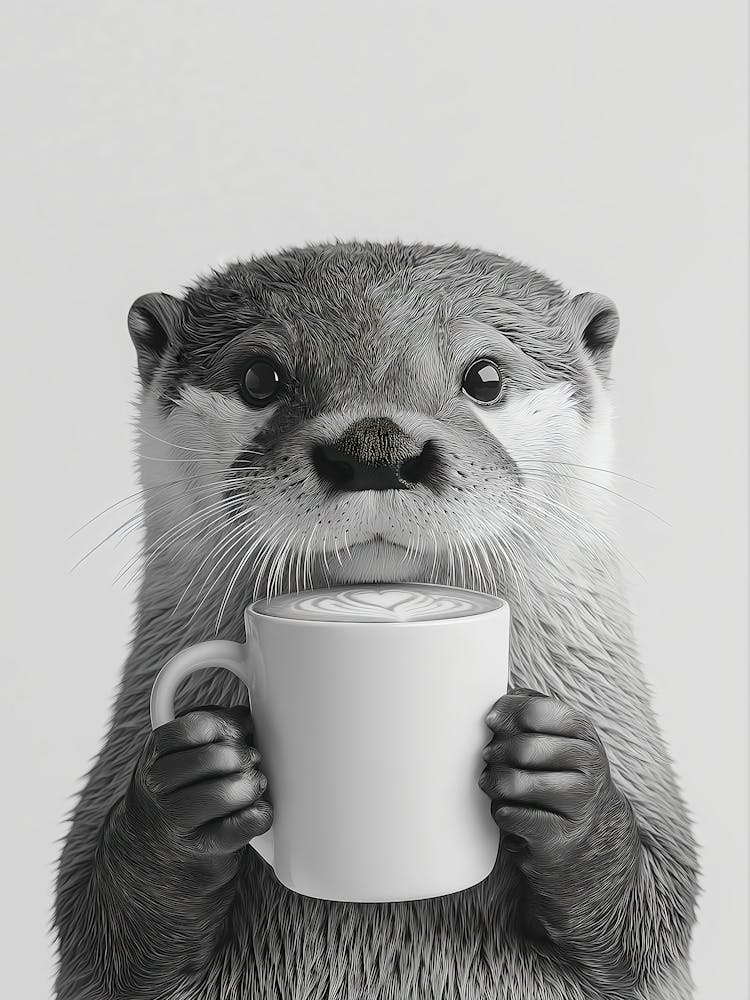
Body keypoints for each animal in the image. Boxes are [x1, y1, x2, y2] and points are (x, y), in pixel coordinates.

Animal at [53, 241, 699, 1000]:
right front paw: (189, 780)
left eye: (485, 376)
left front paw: (561, 775)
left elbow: (656, 907)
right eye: (260, 376)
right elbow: (99, 919)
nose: (375, 448)